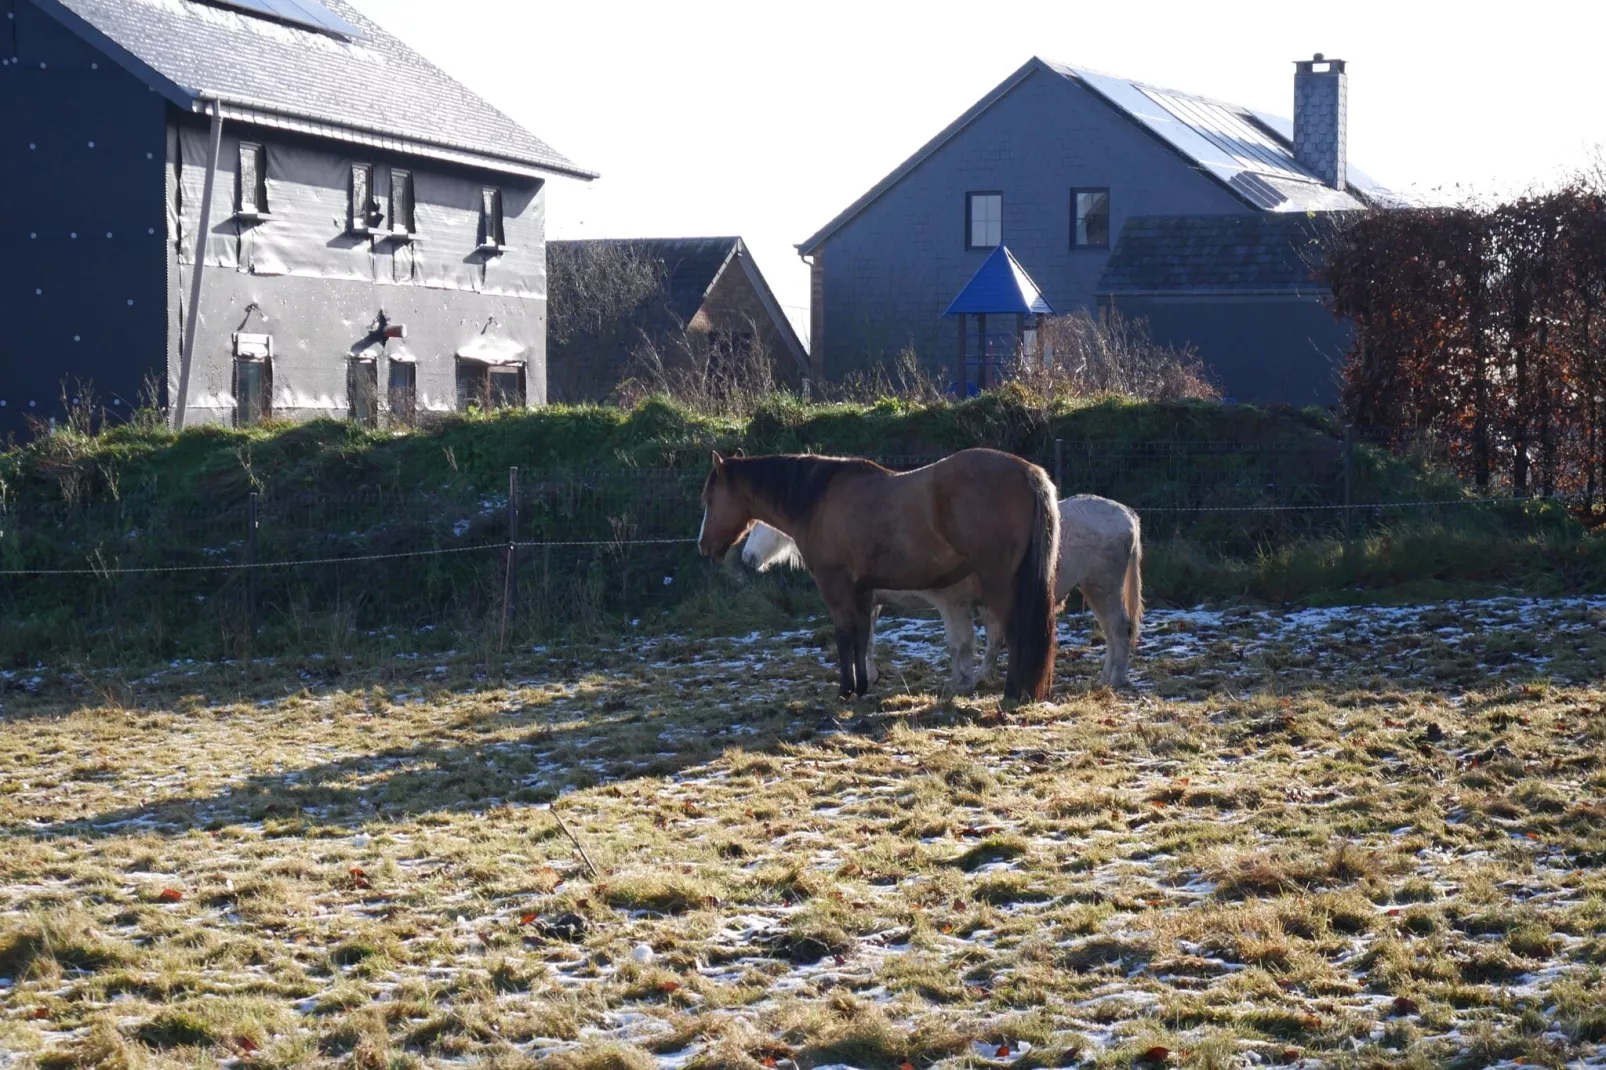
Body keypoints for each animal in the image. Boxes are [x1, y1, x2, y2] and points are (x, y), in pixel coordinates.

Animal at [697, 446, 1059, 697]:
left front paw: (846, 689)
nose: (704, 547)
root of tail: (1027, 471)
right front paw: (861, 686)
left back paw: (1012, 692)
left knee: (1014, 632)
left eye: (709, 498)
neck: (819, 500)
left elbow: (845, 636)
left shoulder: (836, 587)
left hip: (1000, 584)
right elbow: (862, 638)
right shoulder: (864, 591)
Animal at [741, 494, 1143, 687]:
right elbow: (867, 640)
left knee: (1117, 630)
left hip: (1101, 586)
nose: (746, 558)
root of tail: (1127, 515)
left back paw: (1113, 679)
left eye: (760, 525)